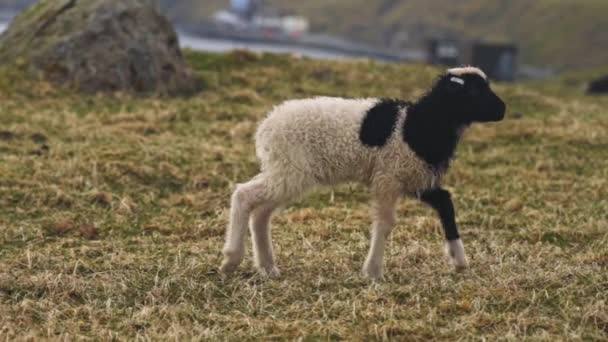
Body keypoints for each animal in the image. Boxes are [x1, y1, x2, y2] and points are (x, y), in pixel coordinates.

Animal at [221, 65, 506, 280]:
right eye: (474, 91)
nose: (503, 110)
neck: (419, 123)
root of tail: (265, 127)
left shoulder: (415, 177)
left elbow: (445, 203)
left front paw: (459, 259)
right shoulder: (389, 177)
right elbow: (386, 223)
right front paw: (373, 271)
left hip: (286, 173)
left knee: (261, 213)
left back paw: (267, 267)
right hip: (290, 171)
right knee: (244, 195)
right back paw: (231, 259)